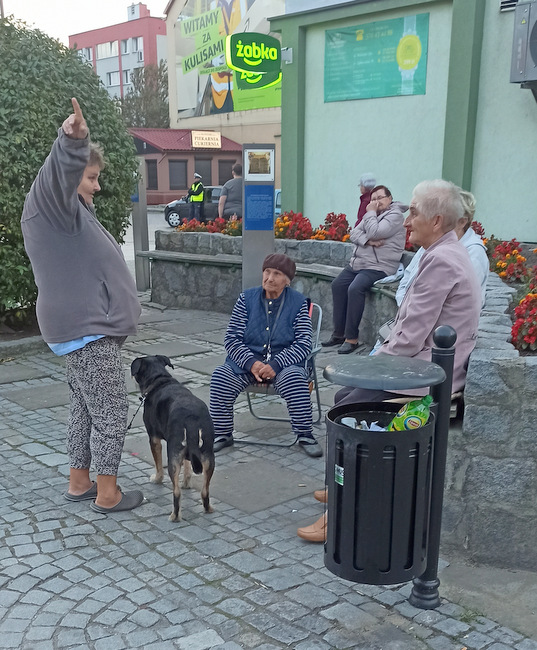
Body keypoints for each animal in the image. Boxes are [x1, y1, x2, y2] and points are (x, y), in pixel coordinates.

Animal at [130, 352, 214, 520]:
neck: (159, 380)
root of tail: (191, 418)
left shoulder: (154, 439)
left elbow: (158, 465)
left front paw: (157, 479)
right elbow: (187, 468)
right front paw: (186, 483)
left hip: (173, 457)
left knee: (176, 493)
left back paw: (174, 516)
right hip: (208, 456)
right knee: (205, 491)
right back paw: (208, 509)